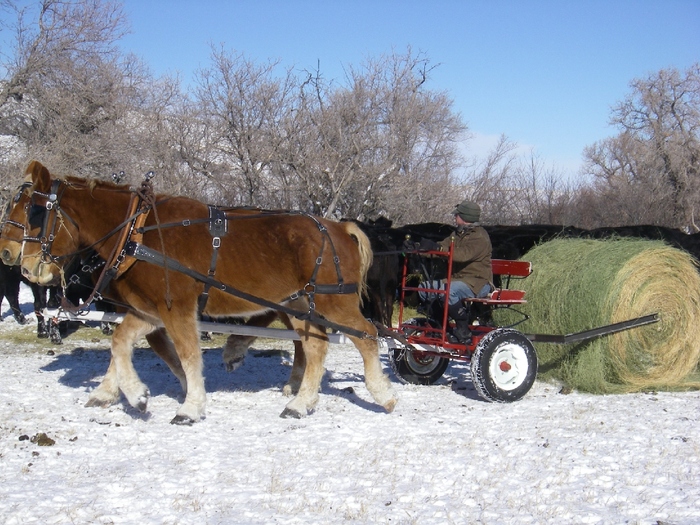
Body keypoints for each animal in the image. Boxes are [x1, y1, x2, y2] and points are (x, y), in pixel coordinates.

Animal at [10, 160, 396, 422]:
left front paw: (191, 406)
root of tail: (339, 227)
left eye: (34, 214)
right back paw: (301, 402)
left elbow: (187, 354)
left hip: (334, 302)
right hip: (302, 305)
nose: (25, 267)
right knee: (315, 347)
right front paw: (133, 394)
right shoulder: (149, 310)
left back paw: (382, 393)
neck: (139, 232)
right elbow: (120, 343)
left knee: (367, 335)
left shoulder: (176, 308)